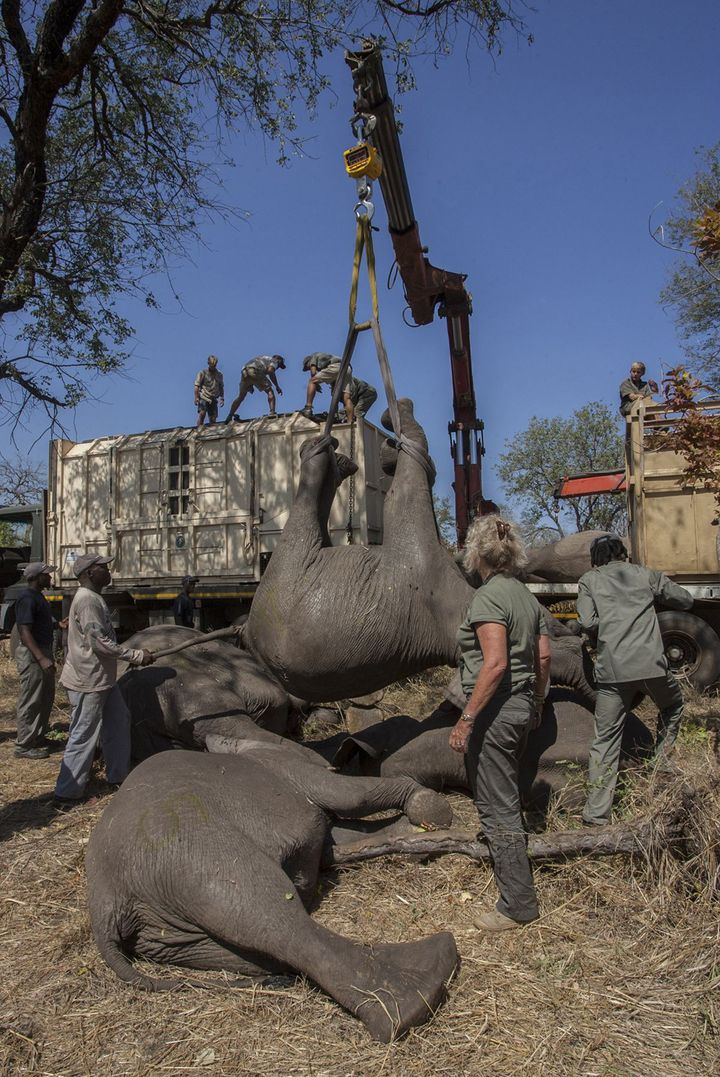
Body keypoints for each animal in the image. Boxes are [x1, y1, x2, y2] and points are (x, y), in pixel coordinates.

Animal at [85, 745, 454, 1038]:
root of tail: (105, 905)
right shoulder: (290, 770)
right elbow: (351, 797)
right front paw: (433, 815)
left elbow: (340, 836)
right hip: (189, 853)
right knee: (272, 916)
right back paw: (419, 990)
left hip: (166, 931)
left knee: (256, 950)